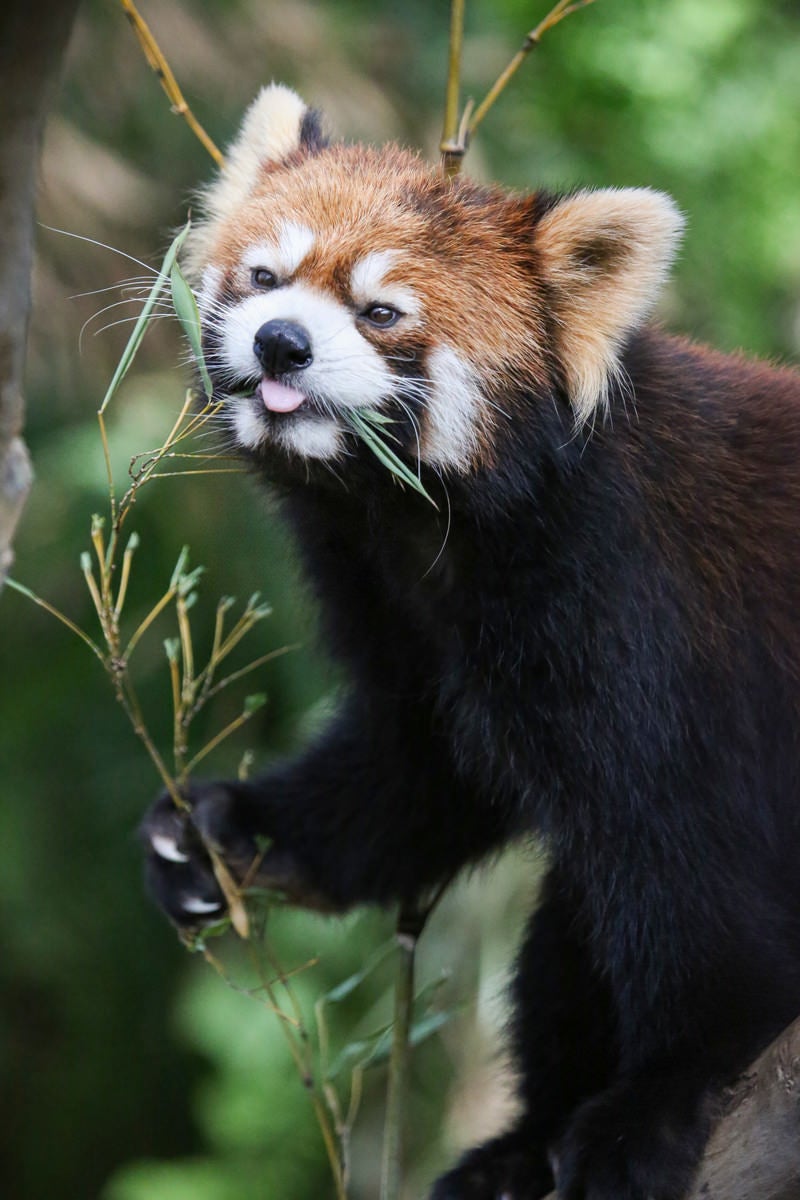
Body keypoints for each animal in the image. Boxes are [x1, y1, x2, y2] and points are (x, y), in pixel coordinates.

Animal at [140, 87, 800, 1200]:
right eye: (264, 276)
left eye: (380, 311)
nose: (279, 343)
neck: (423, 525)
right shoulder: (405, 617)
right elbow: (422, 770)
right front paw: (234, 833)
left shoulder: (635, 608)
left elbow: (689, 861)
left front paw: (666, 1092)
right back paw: (517, 1149)